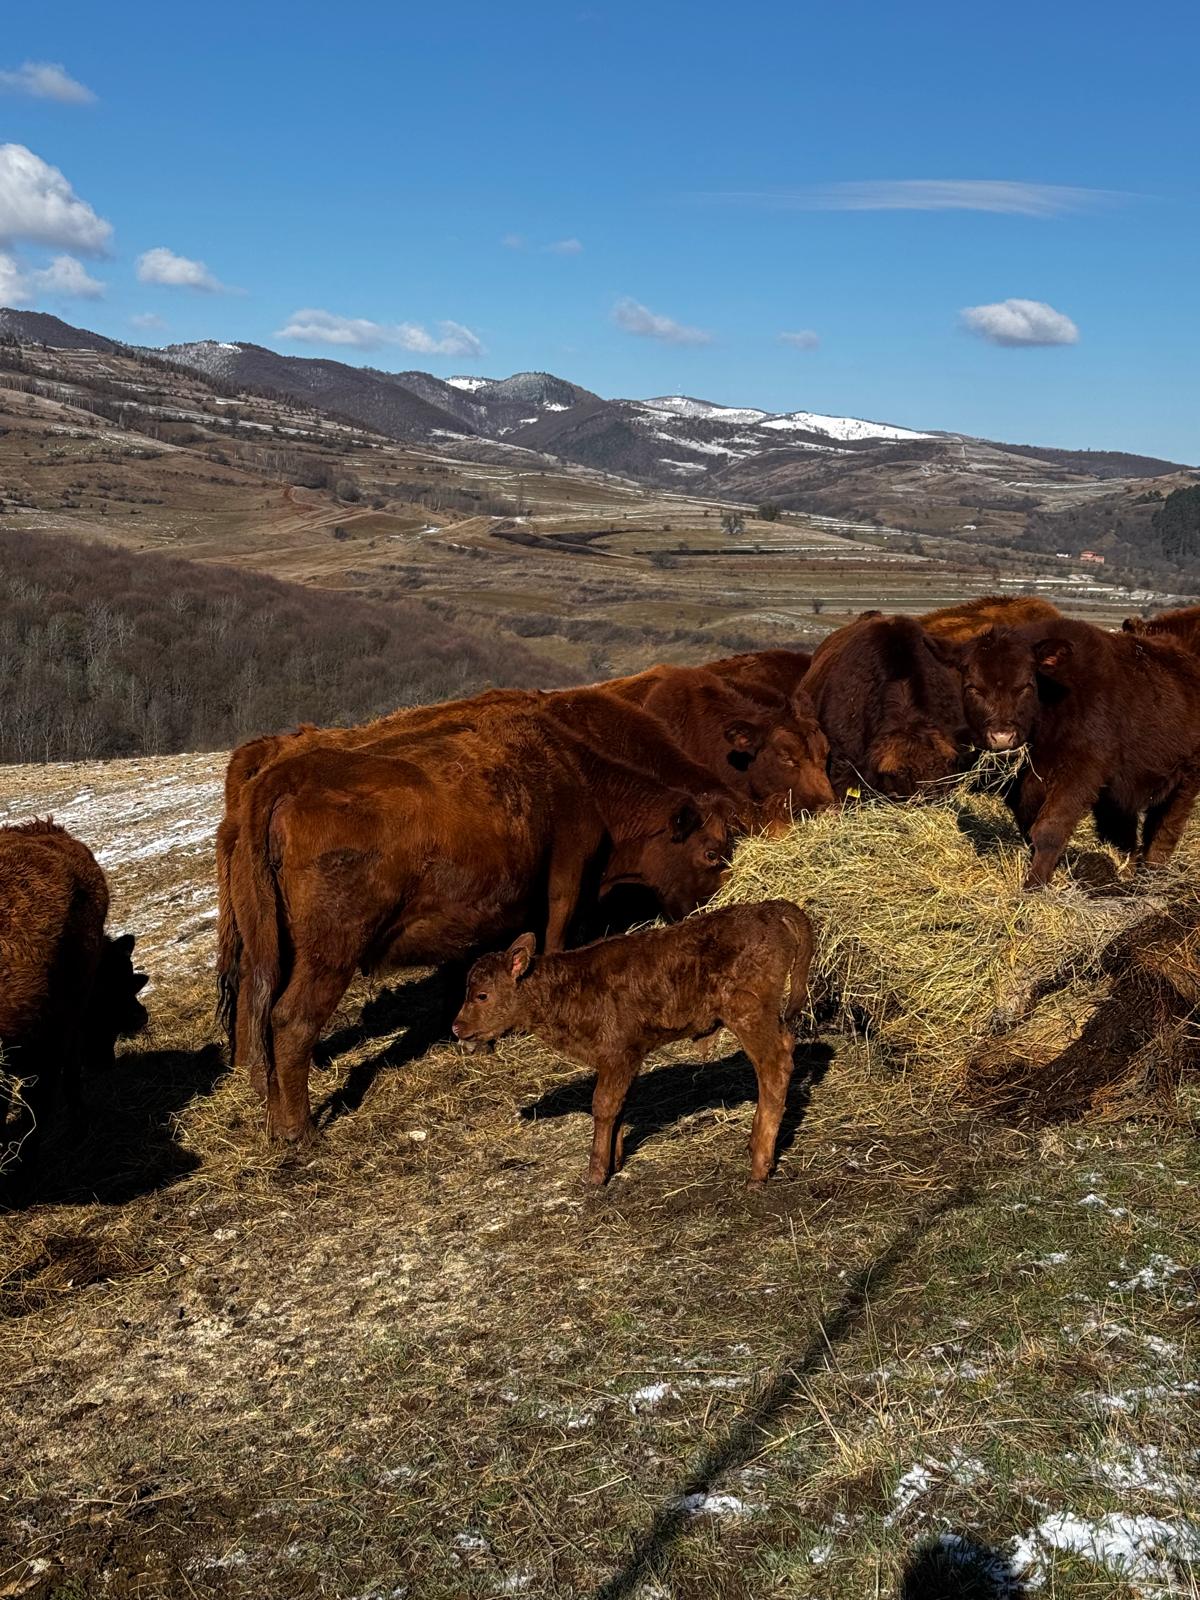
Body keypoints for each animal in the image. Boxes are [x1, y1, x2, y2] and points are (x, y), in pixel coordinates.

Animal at [232, 717, 732, 1143]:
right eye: (711, 853)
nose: (711, 906)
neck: (573, 778)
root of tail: (290, 775)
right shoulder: (565, 882)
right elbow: (553, 941)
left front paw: (475, 1040)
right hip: (331, 952)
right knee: (292, 1020)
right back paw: (301, 1131)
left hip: (274, 949)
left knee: (262, 1018)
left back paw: (276, 1124)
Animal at [451, 900, 814, 1187]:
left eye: (482, 995)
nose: (456, 1027)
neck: (567, 989)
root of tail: (772, 909)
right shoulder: (625, 1059)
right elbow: (620, 1104)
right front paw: (614, 1161)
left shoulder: (617, 1053)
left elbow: (603, 1105)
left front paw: (595, 1175)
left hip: (749, 1014)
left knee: (775, 1065)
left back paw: (758, 1169)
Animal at [957, 619, 1200, 887]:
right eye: (973, 688)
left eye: (1025, 686)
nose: (1002, 736)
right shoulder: (1021, 788)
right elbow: (1030, 830)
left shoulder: (1078, 776)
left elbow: (1049, 830)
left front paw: (1035, 884)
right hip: (1117, 795)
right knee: (1123, 834)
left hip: (1185, 781)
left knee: (1164, 830)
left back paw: (1152, 875)